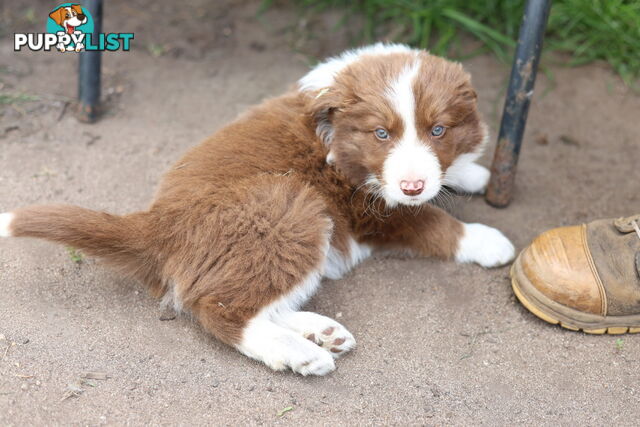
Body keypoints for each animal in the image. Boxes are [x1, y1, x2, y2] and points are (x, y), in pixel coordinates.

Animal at [0, 45, 516, 376]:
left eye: (438, 129)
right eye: (381, 134)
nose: (412, 185)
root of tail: (156, 224)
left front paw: (470, 173)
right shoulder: (373, 209)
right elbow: (432, 221)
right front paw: (488, 240)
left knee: (240, 295)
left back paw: (320, 331)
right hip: (289, 209)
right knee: (217, 307)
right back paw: (300, 354)